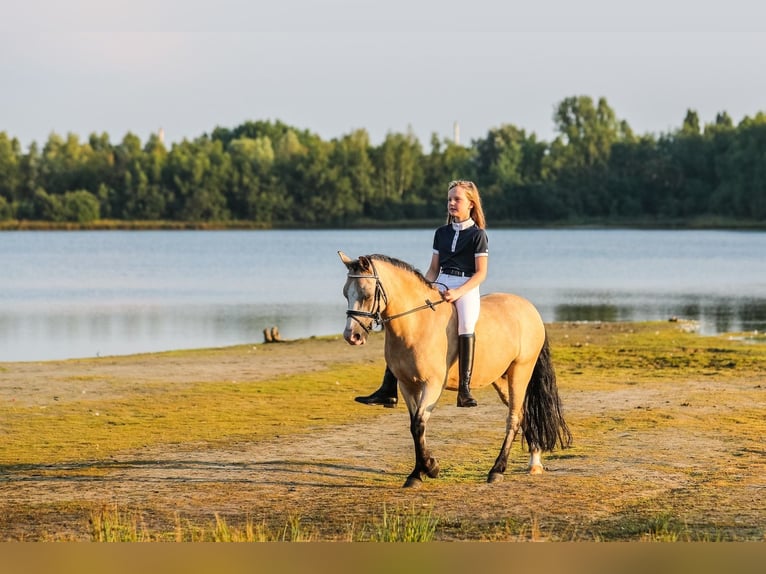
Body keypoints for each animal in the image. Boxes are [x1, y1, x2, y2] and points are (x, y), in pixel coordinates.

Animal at [340, 253, 572, 490]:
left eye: (367, 294)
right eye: (345, 293)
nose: (352, 336)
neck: (417, 324)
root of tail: (530, 309)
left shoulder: (432, 384)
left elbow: (419, 425)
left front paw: (428, 469)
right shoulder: (407, 385)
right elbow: (415, 426)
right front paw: (421, 471)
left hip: (520, 372)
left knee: (514, 418)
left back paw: (497, 470)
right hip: (501, 378)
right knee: (523, 413)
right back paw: (534, 462)